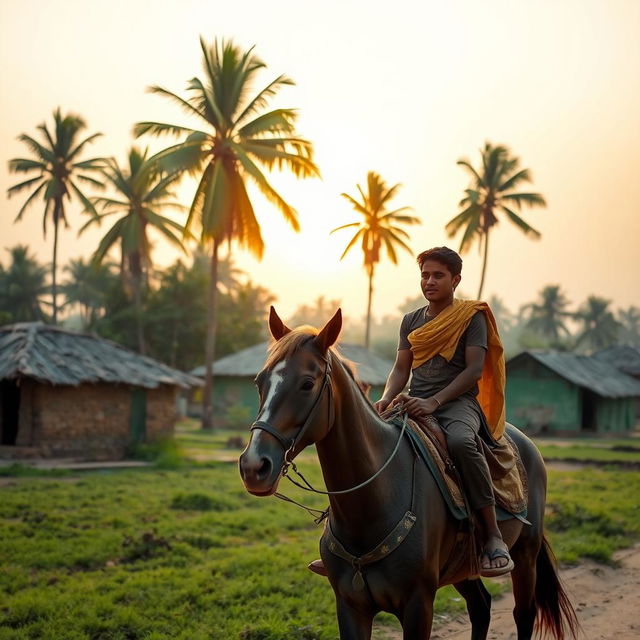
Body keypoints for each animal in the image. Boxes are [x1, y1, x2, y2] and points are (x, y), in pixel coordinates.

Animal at [240, 308, 580, 636]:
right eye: (259, 382)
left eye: (307, 383)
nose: (254, 466)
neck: (372, 504)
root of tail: (528, 443)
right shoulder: (350, 606)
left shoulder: (419, 604)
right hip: (464, 567)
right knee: (481, 607)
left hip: (525, 553)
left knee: (524, 614)